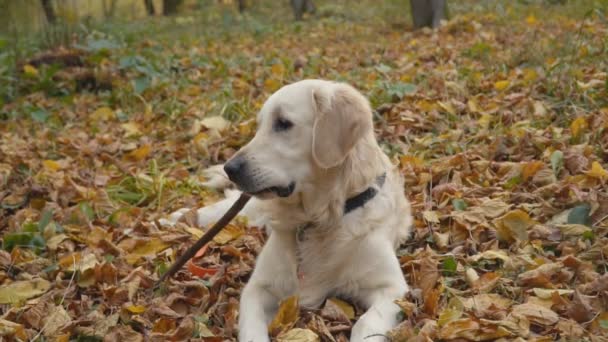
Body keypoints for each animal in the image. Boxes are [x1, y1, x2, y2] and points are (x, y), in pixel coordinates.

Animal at [164, 79, 416, 340]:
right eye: (259, 126)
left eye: (283, 123)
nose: (230, 169)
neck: (318, 217)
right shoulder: (258, 286)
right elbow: (252, 329)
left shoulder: (391, 287)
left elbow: (365, 323)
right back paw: (180, 218)